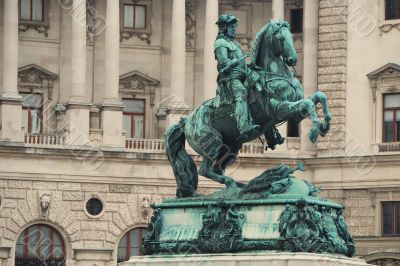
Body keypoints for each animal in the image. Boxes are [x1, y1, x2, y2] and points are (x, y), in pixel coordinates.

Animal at [164, 20, 332, 197]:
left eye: (292, 36)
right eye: (280, 37)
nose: (292, 60)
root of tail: (187, 121)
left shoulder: (296, 113)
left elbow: (319, 97)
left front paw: (325, 124)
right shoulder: (279, 109)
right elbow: (309, 104)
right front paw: (314, 131)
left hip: (230, 147)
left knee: (217, 169)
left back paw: (243, 186)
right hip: (212, 143)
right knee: (205, 170)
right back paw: (237, 185)